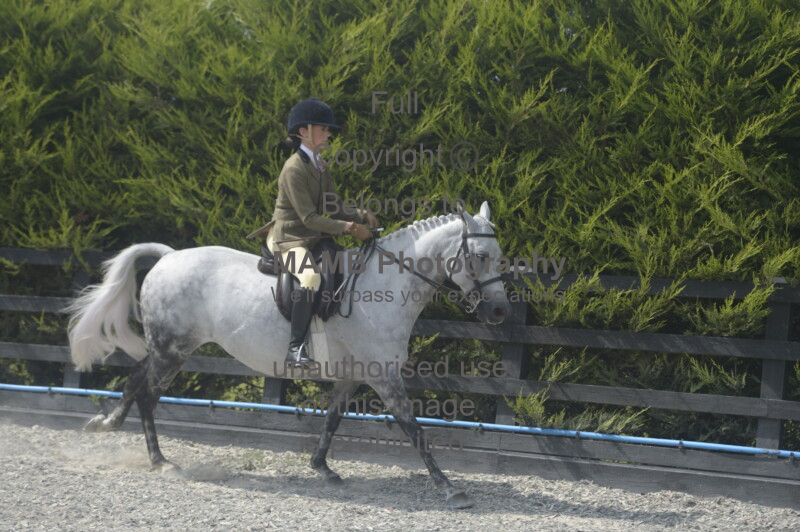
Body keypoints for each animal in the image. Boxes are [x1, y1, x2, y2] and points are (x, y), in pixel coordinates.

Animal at [67, 202, 512, 509]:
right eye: (480, 257)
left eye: (500, 256)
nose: (499, 312)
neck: (384, 287)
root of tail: (169, 256)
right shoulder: (384, 377)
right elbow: (414, 429)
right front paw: (450, 489)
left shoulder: (353, 375)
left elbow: (332, 419)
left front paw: (323, 469)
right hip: (173, 350)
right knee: (147, 393)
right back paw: (160, 461)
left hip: (169, 347)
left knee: (136, 379)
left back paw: (106, 423)